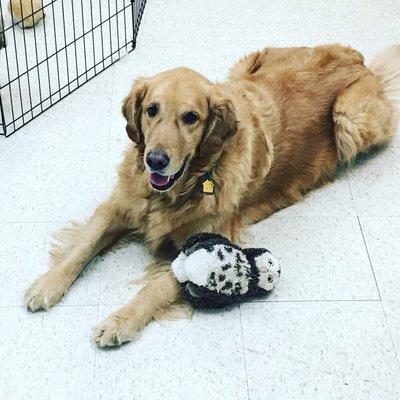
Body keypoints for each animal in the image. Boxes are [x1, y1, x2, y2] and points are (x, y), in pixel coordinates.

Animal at [25, 43, 400, 344]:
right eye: (152, 110)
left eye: (191, 117)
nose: (155, 160)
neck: (180, 188)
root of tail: (359, 60)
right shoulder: (118, 206)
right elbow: (82, 247)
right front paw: (47, 285)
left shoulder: (208, 241)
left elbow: (156, 288)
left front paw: (120, 320)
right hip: (243, 68)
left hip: (348, 118)